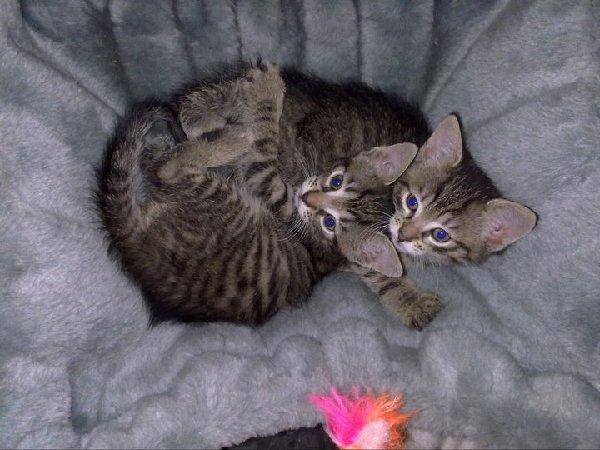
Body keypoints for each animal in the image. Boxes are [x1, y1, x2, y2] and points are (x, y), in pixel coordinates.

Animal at [97, 64, 415, 324]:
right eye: (336, 182)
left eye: (330, 223)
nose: (306, 198)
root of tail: (131, 241)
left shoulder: (273, 189)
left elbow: (263, 146)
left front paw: (265, 97)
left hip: (222, 202)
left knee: (165, 170)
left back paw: (235, 134)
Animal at [175, 66, 536, 330]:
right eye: (413, 202)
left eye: (441, 235)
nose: (403, 234)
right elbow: (376, 271)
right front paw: (409, 300)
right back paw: (205, 115)